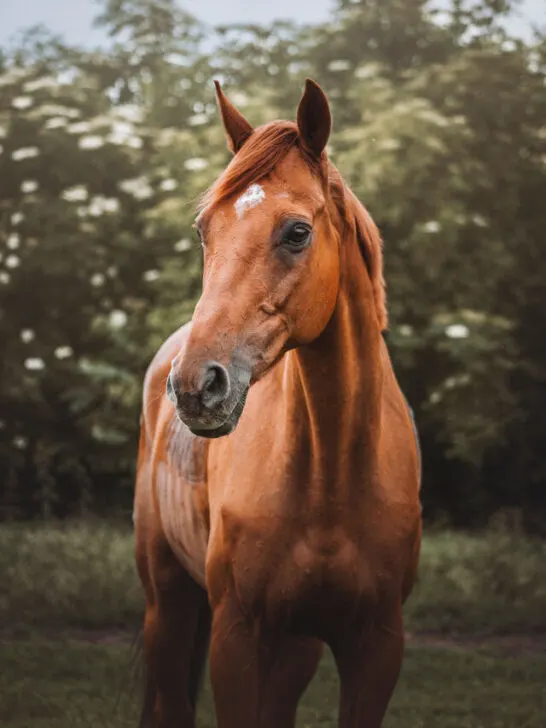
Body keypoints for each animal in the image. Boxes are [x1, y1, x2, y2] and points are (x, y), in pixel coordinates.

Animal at [133, 78, 422, 728]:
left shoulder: (377, 645)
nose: (197, 385)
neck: (331, 477)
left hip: (295, 648)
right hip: (168, 607)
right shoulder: (237, 637)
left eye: (296, 232)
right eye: (204, 230)